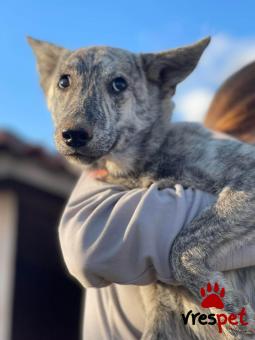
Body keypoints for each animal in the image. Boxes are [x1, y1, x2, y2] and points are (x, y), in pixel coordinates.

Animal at [27, 35, 255, 338]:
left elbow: (180, 248)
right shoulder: (162, 313)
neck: (142, 165)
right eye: (64, 81)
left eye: (119, 84)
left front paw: (227, 306)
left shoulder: (246, 175)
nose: (73, 135)